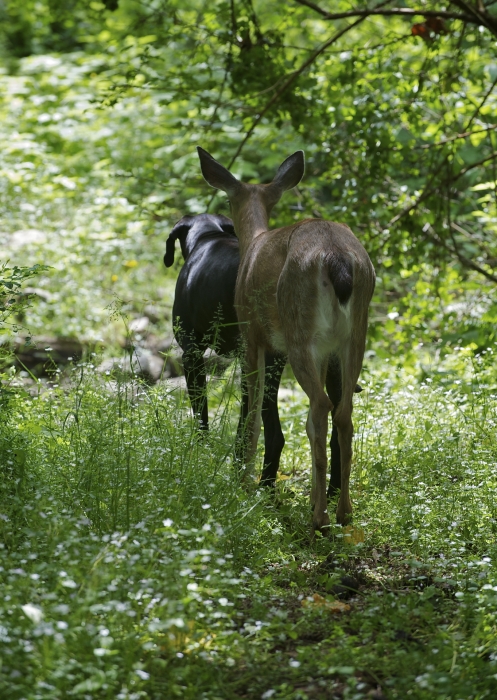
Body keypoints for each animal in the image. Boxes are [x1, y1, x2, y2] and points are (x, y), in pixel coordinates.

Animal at [165, 213, 358, 492]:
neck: (208, 237)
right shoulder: (247, 361)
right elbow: (245, 423)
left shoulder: (191, 356)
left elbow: (202, 416)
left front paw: (201, 454)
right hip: (333, 362)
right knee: (337, 432)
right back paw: (332, 491)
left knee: (276, 434)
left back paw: (266, 487)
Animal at [196, 148, 374, 532]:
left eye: (228, 199)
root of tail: (336, 258)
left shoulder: (251, 334)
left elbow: (252, 413)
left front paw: (244, 481)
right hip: (354, 335)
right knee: (343, 411)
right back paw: (343, 511)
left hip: (298, 330)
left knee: (320, 406)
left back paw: (319, 516)